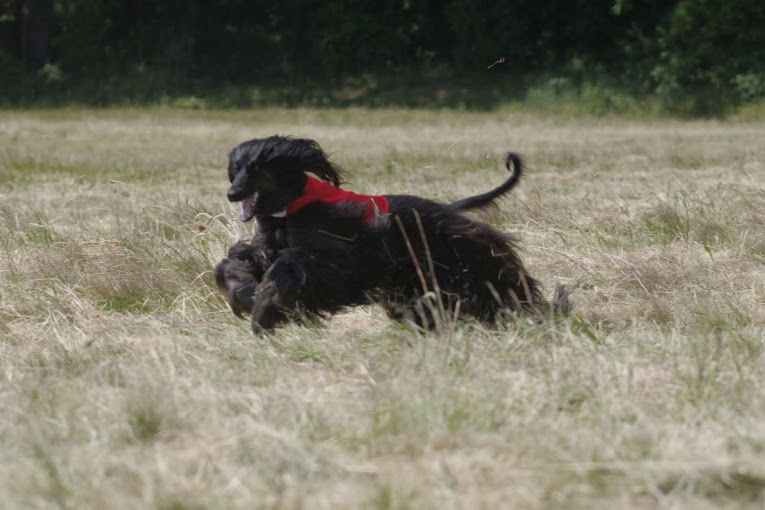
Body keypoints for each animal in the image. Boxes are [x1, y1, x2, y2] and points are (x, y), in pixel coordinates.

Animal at [215, 136, 560, 334]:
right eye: (236, 168)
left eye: (256, 167)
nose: (232, 194)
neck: (289, 209)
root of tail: (446, 208)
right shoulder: (266, 248)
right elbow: (239, 261)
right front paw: (242, 293)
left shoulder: (334, 258)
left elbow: (290, 271)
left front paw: (264, 311)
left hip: (461, 251)